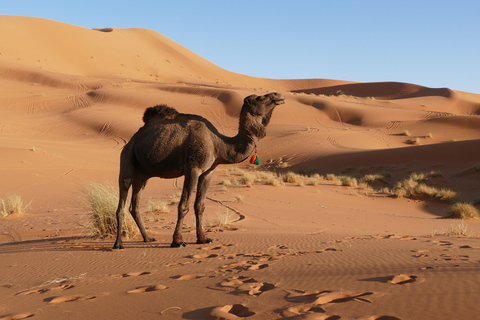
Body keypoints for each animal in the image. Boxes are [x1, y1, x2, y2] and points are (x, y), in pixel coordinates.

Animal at [112, 91, 284, 249]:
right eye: (261, 98)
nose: (279, 96)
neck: (218, 144)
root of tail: (132, 139)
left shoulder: (208, 172)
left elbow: (200, 206)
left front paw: (203, 238)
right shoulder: (193, 169)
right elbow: (184, 206)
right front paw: (178, 241)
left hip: (142, 174)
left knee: (134, 205)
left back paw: (148, 238)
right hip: (127, 157)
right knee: (122, 197)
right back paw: (118, 244)